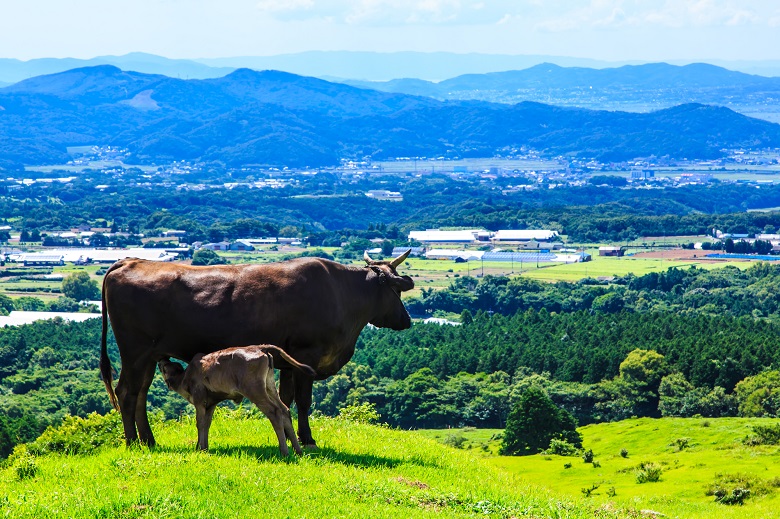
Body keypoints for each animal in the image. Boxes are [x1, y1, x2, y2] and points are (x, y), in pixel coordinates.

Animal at [157, 348, 316, 458]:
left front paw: (200, 448)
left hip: (255, 390)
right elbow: (207, 423)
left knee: (274, 412)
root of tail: (262, 351)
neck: (185, 377)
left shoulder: (200, 401)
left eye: (164, 368)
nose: (162, 359)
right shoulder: (211, 403)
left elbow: (200, 423)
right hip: (269, 386)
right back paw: (298, 450)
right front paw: (204, 447)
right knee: (284, 410)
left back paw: (284, 452)